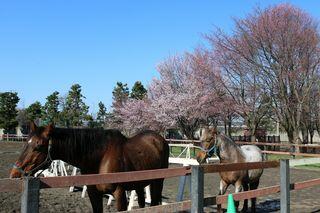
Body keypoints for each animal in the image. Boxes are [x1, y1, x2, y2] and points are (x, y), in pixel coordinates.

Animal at [9, 122, 170, 212]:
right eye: (26, 142)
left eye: (38, 146)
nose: (14, 173)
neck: (101, 157)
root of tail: (159, 139)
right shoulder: (94, 194)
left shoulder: (119, 193)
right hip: (140, 183)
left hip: (158, 182)